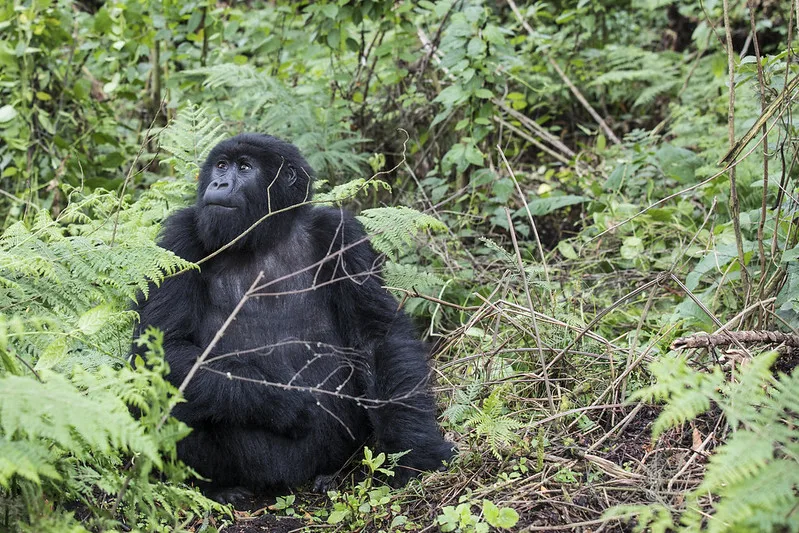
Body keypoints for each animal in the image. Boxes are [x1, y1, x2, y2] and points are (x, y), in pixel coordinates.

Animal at [134, 134, 454, 502]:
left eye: (245, 167)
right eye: (221, 165)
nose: (219, 183)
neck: (267, 235)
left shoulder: (341, 233)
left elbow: (376, 337)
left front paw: (416, 449)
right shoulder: (180, 237)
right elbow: (162, 349)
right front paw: (284, 403)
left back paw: (331, 475)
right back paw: (219, 487)